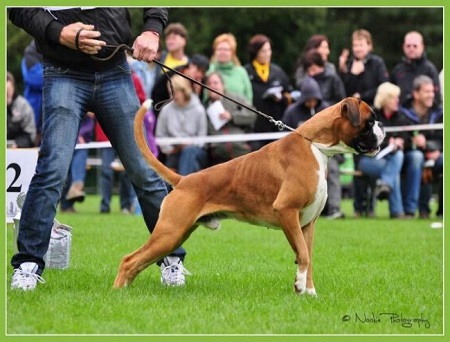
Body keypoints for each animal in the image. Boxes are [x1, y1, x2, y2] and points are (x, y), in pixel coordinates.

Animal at [112, 97, 384, 294]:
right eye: (370, 121)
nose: (382, 127)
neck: (314, 145)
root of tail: (184, 180)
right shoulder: (286, 211)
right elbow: (303, 256)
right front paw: (299, 285)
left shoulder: (308, 224)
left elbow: (308, 257)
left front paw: (309, 293)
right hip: (169, 232)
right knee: (129, 260)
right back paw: (117, 294)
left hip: (176, 234)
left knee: (139, 262)